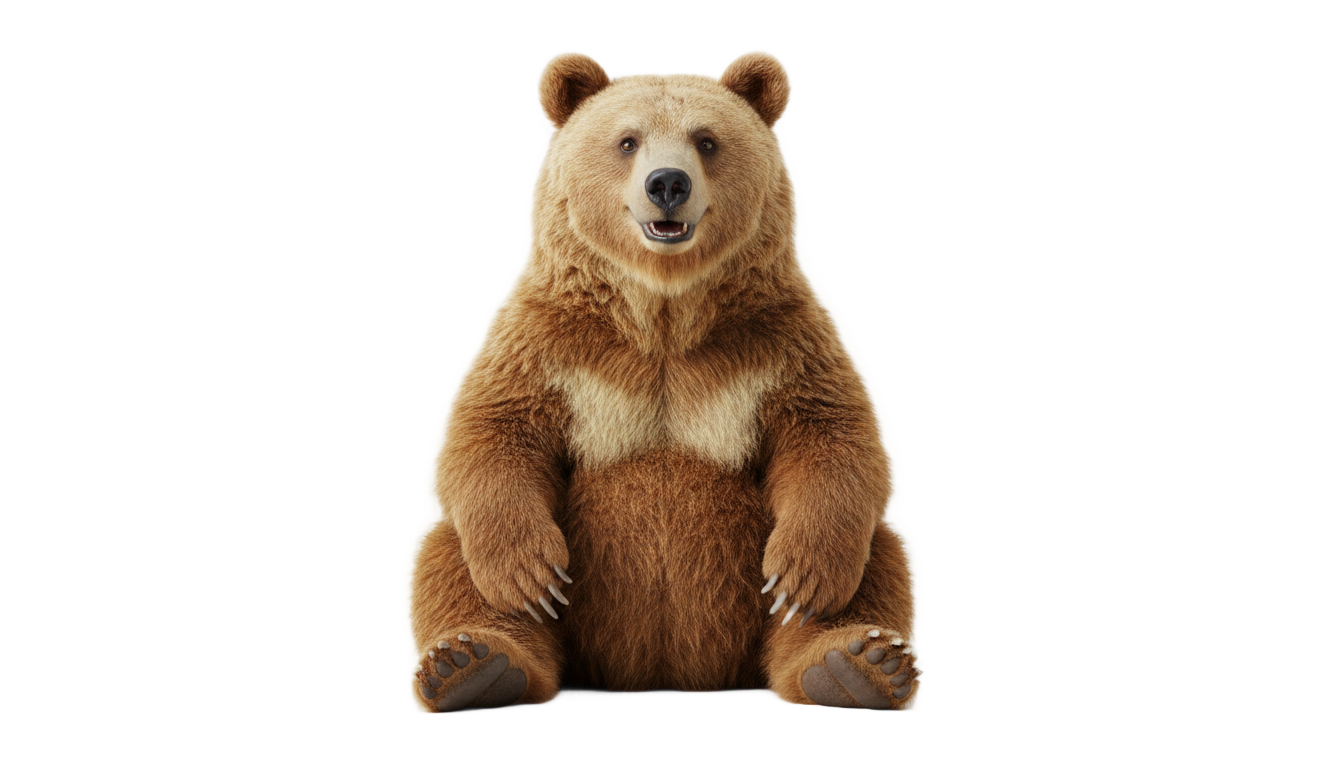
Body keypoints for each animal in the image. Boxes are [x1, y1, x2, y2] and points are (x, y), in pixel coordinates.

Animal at [409, 53, 918, 711]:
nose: (668, 184)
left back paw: (856, 663)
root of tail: (671, 673)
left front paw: (805, 575)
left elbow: (830, 436)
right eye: (628, 140)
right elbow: (493, 433)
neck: (664, 313)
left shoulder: (777, 344)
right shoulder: (552, 345)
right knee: (447, 556)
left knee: (879, 558)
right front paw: (529, 575)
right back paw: (474, 665)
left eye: (707, 139)